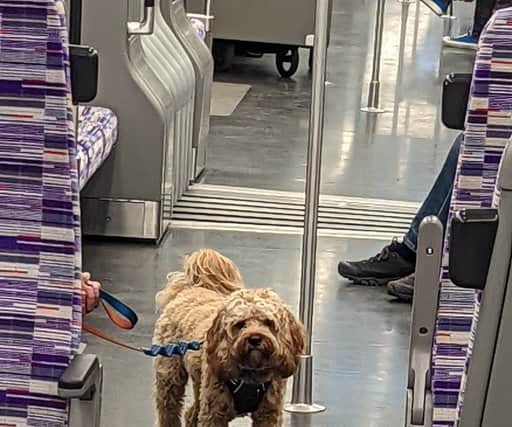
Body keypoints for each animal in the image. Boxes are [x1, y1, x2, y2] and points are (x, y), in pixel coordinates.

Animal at [152, 249, 304, 426]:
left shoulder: (269, 413)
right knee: (168, 409)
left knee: (191, 413)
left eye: (268, 322)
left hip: (199, 383)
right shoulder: (213, 412)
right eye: (240, 324)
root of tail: (187, 289)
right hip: (169, 376)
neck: (251, 376)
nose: (255, 339)